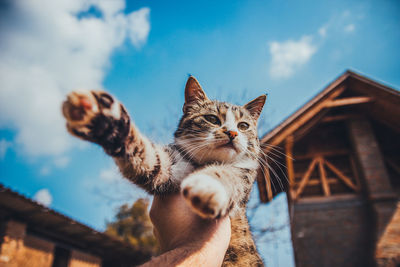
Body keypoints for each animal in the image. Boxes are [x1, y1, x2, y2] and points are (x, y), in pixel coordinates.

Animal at [62, 76, 268, 266]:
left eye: (243, 126)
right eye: (211, 119)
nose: (232, 133)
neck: (205, 163)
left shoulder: (244, 177)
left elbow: (231, 175)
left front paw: (208, 186)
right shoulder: (171, 167)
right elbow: (150, 157)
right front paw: (105, 120)